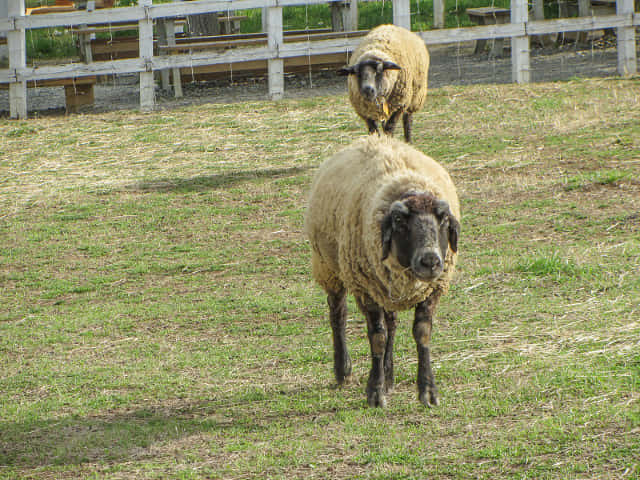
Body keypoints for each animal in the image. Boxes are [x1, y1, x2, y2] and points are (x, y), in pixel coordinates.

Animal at [304, 135, 460, 408]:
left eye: (443, 219)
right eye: (399, 222)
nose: (430, 261)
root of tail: (371, 137)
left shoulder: (432, 288)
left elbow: (422, 334)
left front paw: (427, 391)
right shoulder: (365, 288)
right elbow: (376, 337)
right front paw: (375, 393)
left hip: (384, 285)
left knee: (392, 322)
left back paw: (389, 375)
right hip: (329, 267)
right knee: (337, 314)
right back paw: (343, 370)